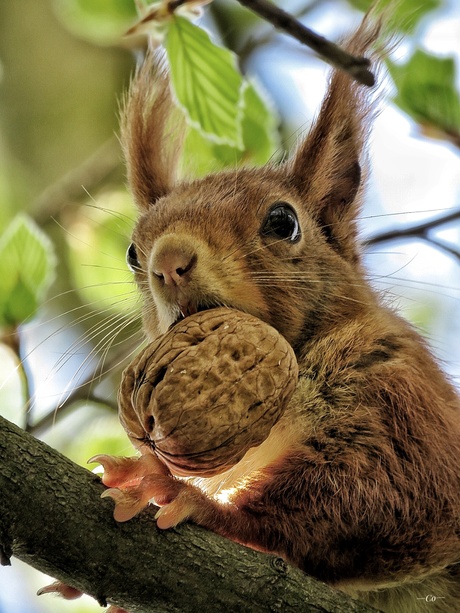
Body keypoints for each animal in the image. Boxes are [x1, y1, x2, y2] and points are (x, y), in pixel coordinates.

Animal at [42, 11, 460, 608]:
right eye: (131, 252)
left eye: (283, 222)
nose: (168, 261)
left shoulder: (404, 400)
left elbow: (390, 492)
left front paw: (186, 497)